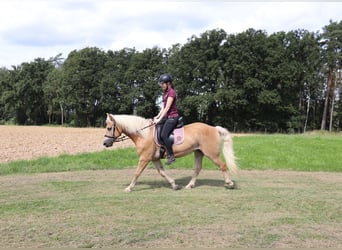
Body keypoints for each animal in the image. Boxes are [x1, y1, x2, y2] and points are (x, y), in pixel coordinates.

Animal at [103, 112, 238, 192]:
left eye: (109, 128)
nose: (105, 143)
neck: (144, 134)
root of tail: (213, 128)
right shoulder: (154, 159)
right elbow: (162, 172)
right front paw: (174, 185)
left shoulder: (144, 158)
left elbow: (137, 173)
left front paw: (129, 188)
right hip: (198, 152)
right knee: (197, 168)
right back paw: (190, 185)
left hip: (212, 154)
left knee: (222, 165)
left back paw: (229, 183)